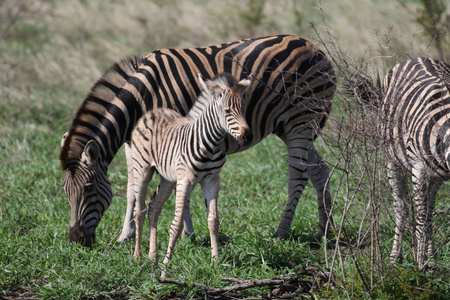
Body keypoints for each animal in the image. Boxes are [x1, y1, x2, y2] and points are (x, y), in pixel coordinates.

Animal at [59, 34, 336, 247]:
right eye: (64, 191)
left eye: (88, 189)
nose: (76, 240)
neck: (140, 100)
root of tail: (316, 48)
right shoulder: (135, 143)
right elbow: (131, 189)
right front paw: (125, 235)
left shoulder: (175, 135)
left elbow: (177, 187)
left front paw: (186, 233)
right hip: (292, 126)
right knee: (320, 171)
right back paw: (326, 231)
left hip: (300, 121)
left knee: (298, 177)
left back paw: (281, 231)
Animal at [132, 73, 253, 270]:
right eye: (227, 111)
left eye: (244, 109)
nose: (247, 137)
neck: (211, 145)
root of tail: (153, 112)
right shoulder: (186, 180)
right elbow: (176, 224)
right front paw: (166, 267)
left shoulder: (212, 179)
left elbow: (213, 220)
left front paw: (215, 260)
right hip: (141, 169)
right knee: (139, 210)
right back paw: (137, 255)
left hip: (168, 178)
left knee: (154, 206)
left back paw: (152, 256)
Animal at [380, 56, 450, 270]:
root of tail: (419, 58)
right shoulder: (419, 169)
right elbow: (419, 218)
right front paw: (420, 267)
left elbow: (426, 216)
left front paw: (426, 261)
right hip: (392, 160)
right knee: (401, 205)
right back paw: (396, 258)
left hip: (437, 176)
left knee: (430, 210)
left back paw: (431, 257)